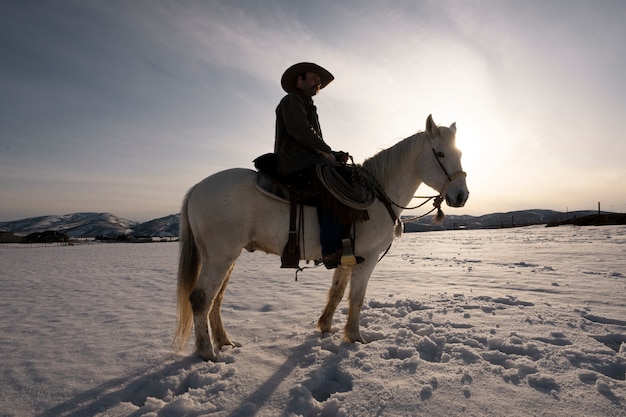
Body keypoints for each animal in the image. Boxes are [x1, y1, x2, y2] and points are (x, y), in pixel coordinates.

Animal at [173, 114, 466, 360]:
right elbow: (357, 298)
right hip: (220, 257)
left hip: (226, 258)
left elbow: (336, 293)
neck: (377, 195)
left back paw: (224, 342)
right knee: (201, 299)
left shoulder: (348, 256)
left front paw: (325, 327)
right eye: (440, 153)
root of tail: (196, 188)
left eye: (460, 153)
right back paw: (208, 353)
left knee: (216, 300)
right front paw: (356, 338)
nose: (461, 195)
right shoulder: (368, 258)